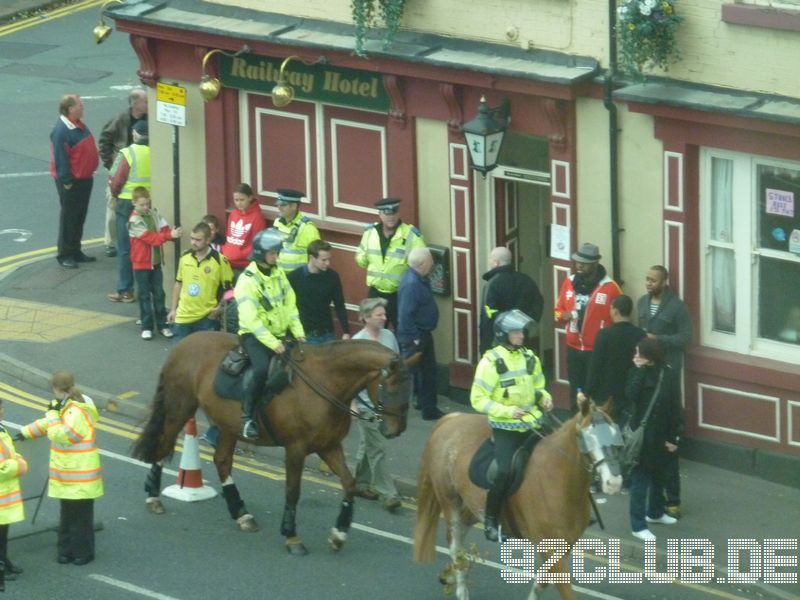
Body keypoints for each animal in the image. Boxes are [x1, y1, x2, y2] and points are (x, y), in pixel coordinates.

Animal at [132, 332, 416, 552]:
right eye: (390, 386)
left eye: (409, 387)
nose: (396, 430)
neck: (325, 383)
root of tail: (185, 341)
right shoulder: (296, 449)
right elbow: (292, 491)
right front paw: (292, 536)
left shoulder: (328, 446)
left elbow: (349, 483)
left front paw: (339, 534)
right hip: (180, 407)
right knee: (165, 445)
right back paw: (154, 498)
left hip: (227, 425)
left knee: (221, 461)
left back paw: (242, 514)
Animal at [412, 398, 624, 600]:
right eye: (589, 436)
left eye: (614, 433)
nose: (613, 482)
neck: (560, 479)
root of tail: (451, 419)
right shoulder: (549, 547)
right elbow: (565, 591)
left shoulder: (562, 548)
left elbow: (541, 582)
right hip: (450, 501)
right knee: (455, 545)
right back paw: (461, 590)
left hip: (474, 505)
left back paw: (450, 575)